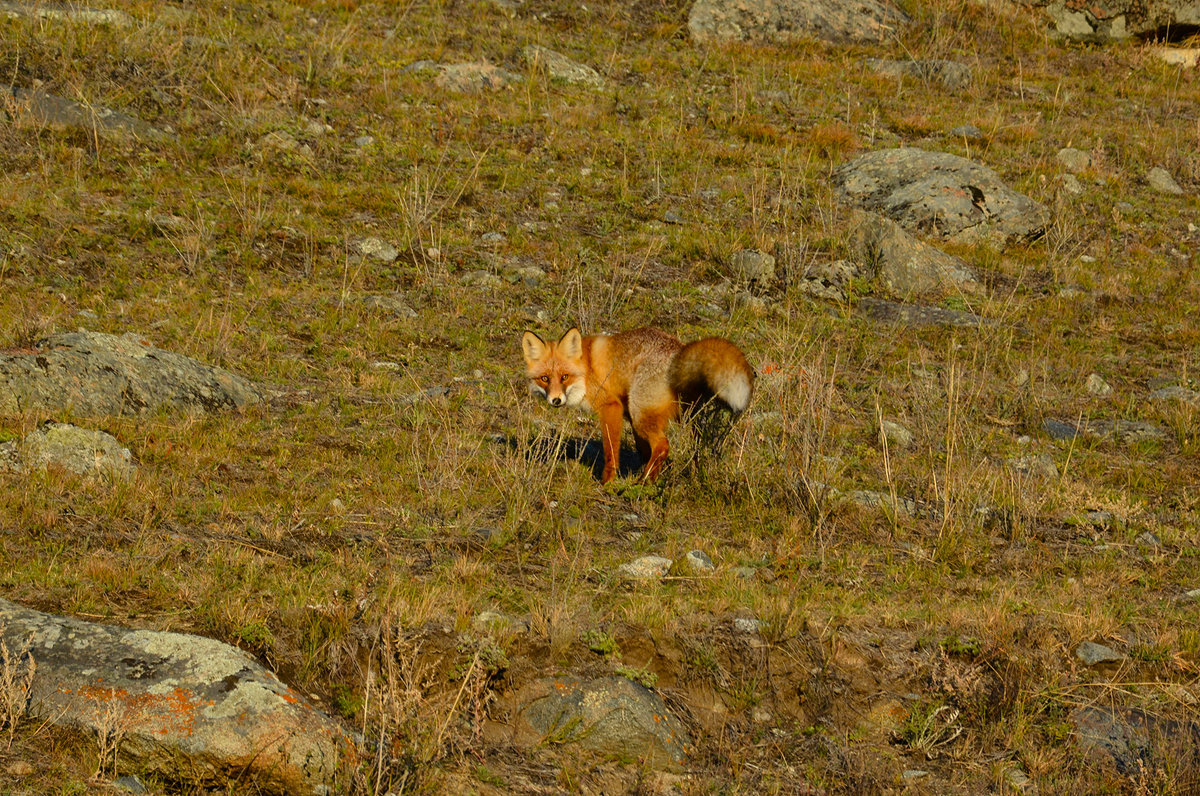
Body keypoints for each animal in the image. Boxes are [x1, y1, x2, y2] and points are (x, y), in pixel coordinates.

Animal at [523, 326, 753, 482]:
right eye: (544, 378)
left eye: (564, 377)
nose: (555, 400)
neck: (585, 368)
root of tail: (679, 350)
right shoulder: (627, 415)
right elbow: (642, 449)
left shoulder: (611, 406)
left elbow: (611, 451)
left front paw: (607, 481)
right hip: (675, 416)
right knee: (691, 446)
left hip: (641, 413)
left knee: (662, 445)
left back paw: (645, 481)